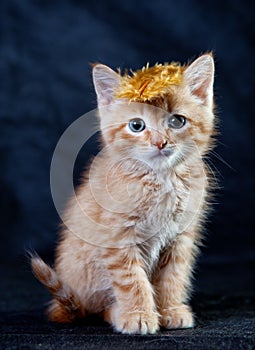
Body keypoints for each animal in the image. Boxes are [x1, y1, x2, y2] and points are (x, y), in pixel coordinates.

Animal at [31, 54, 215, 334]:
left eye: (177, 121)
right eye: (137, 125)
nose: (160, 142)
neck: (160, 180)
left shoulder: (180, 236)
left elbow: (173, 275)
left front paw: (170, 309)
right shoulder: (117, 237)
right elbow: (131, 279)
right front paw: (139, 315)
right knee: (96, 307)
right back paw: (116, 312)